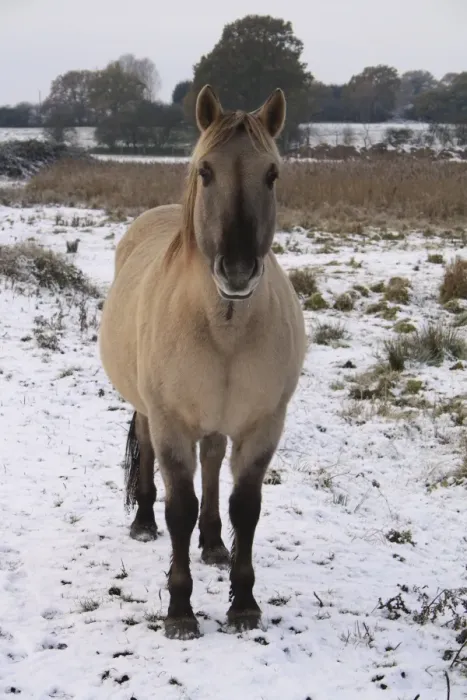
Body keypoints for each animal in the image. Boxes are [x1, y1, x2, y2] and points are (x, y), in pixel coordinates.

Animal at [99, 84, 307, 640]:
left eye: (272, 174)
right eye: (205, 171)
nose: (236, 270)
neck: (223, 325)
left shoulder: (263, 426)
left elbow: (245, 508)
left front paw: (244, 603)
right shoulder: (172, 422)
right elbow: (180, 509)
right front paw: (180, 610)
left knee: (212, 461)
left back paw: (213, 544)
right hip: (150, 412)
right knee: (150, 453)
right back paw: (143, 523)